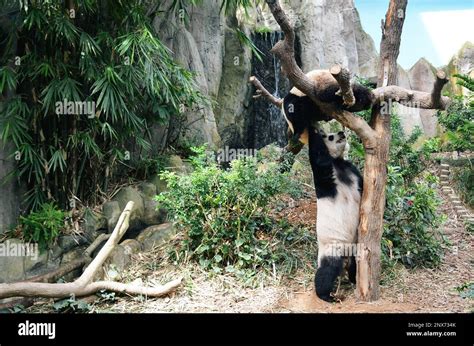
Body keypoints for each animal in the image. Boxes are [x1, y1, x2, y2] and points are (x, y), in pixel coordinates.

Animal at [308, 125, 362, 302]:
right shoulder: (326, 175)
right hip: (333, 246)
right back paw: (325, 295)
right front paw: (312, 131)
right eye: (330, 137)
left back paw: (354, 279)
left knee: (355, 263)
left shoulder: (350, 169)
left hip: (354, 245)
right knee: (327, 270)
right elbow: (319, 159)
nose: (341, 133)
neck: (337, 162)